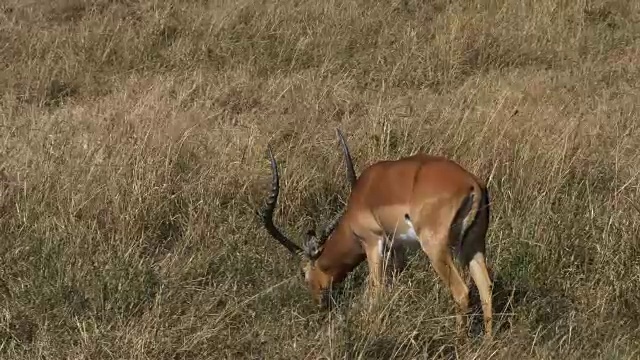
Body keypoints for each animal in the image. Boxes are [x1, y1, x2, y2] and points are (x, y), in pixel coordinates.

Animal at [260, 131, 496, 338]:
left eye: (303, 273)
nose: (318, 304)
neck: (362, 197)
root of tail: (472, 184)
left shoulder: (372, 242)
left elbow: (377, 290)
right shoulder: (397, 248)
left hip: (435, 249)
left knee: (462, 291)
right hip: (474, 246)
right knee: (485, 286)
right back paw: (487, 341)